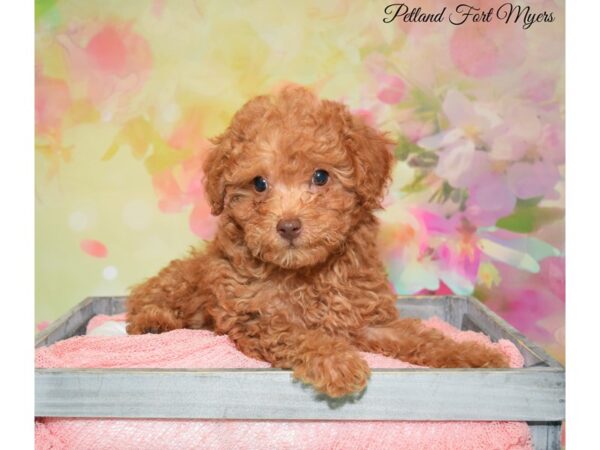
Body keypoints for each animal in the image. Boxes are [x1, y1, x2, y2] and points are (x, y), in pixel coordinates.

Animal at [125, 86, 506, 396]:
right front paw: (338, 362)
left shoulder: (367, 319)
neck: (306, 273)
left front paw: (476, 354)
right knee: (145, 297)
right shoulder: (255, 317)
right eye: (259, 184)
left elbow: (419, 337)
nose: (288, 226)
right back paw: (153, 321)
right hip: (184, 280)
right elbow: (300, 334)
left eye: (321, 176)